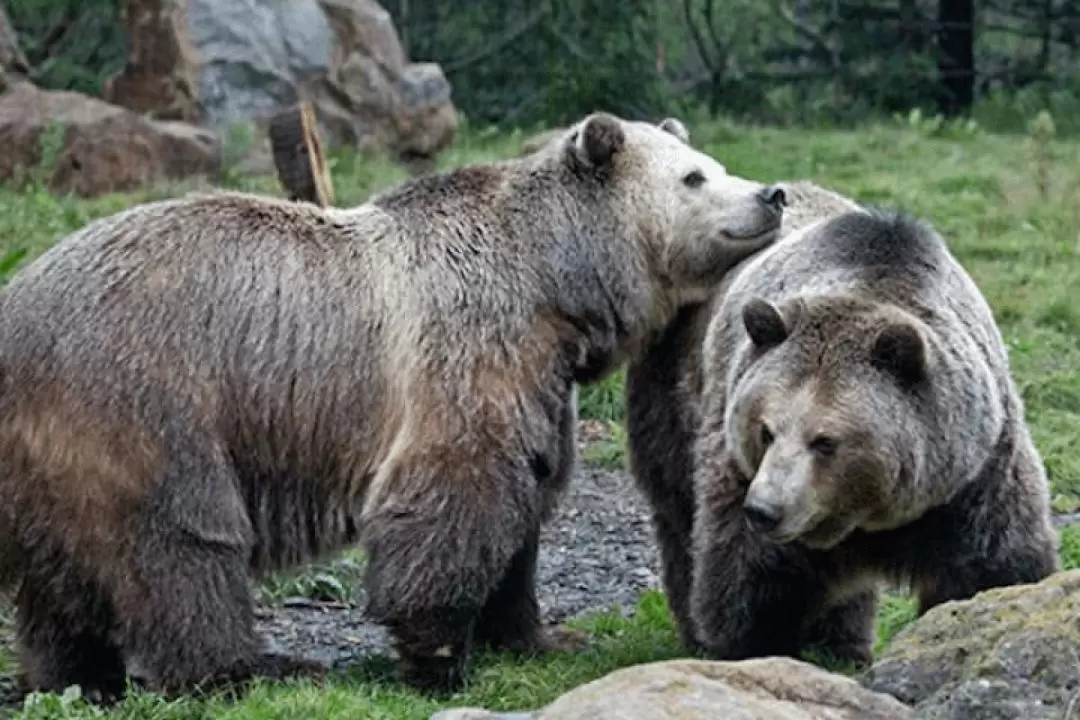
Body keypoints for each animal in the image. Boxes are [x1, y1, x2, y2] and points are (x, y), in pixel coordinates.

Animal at [0, 112, 786, 703]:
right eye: (695, 176)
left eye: (713, 163)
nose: (772, 193)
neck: (553, 288)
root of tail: (17, 309)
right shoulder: (466, 350)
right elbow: (456, 494)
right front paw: (439, 656)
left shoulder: (540, 381)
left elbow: (524, 502)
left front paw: (539, 634)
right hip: (141, 394)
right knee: (181, 543)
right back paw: (247, 669)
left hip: (49, 448)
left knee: (61, 574)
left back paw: (76, 676)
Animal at [626, 180, 1054, 664]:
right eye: (765, 430)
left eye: (825, 441)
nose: (764, 509)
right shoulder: (737, 466)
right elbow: (750, 576)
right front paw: (753, 645)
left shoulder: (971, 477)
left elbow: (992, 563)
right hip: (673, 391)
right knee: (679, 512)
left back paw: (843, 643)